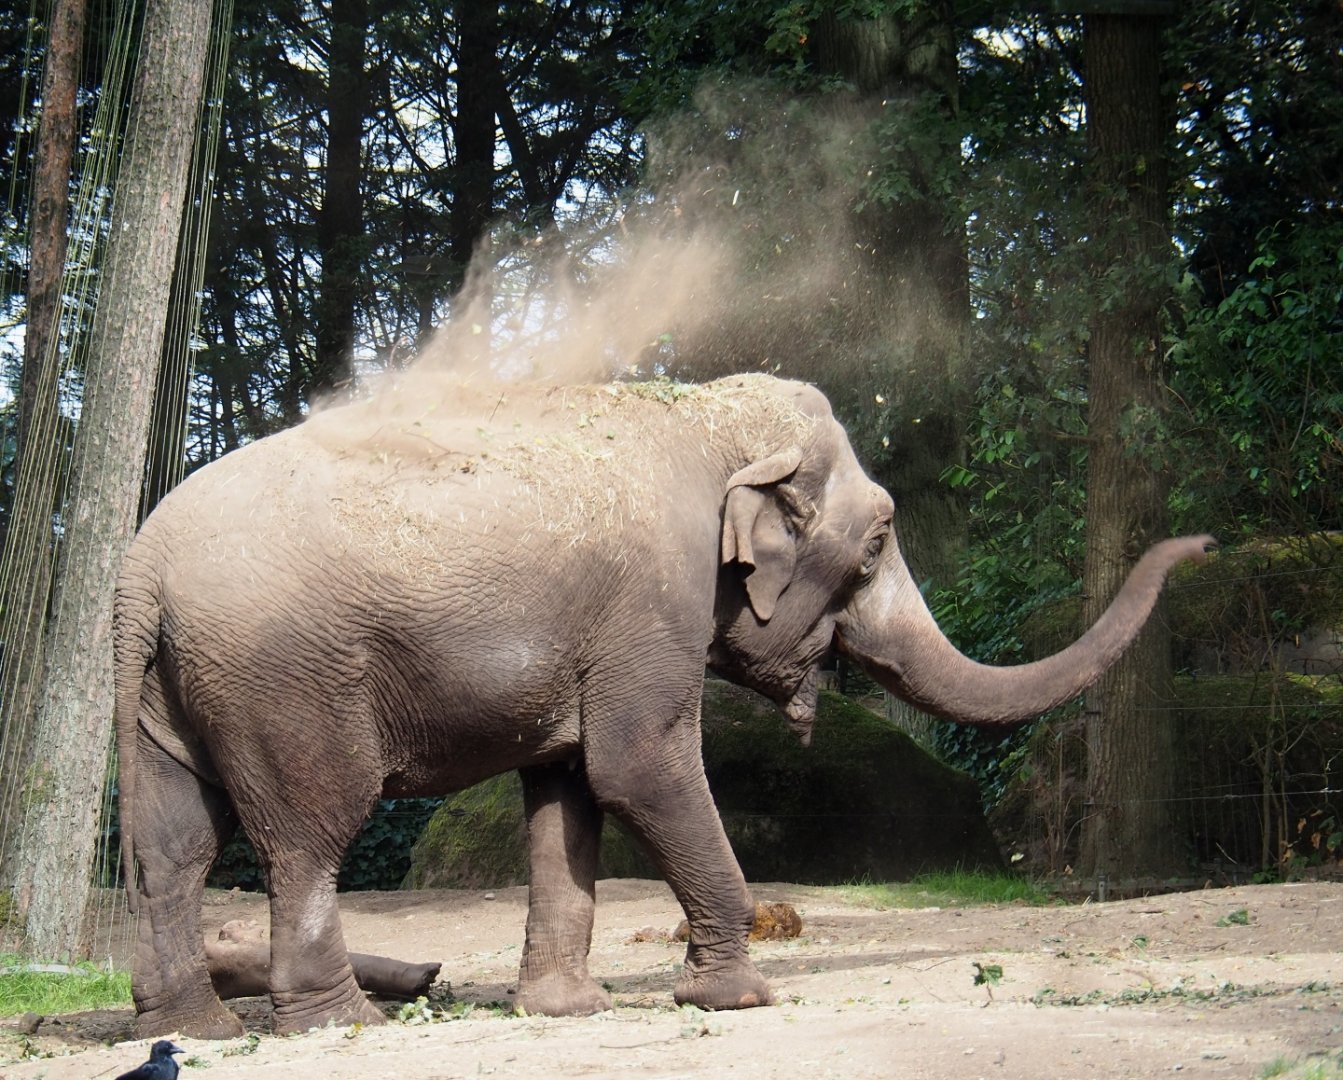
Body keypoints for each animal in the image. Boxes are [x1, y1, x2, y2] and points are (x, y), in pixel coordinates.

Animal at [113, 372, 1211, 1038]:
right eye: (872, 547)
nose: (1200, 543)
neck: (702, 416)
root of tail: (140, 573)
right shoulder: (651, 601)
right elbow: (637, 768)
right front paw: (741, 997)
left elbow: (567, 794)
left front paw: (566, 1011)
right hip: (282, 682)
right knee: (308, 836)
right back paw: (342, 1023)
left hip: (165, 692)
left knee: (174, 847)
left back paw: (190, 1028)